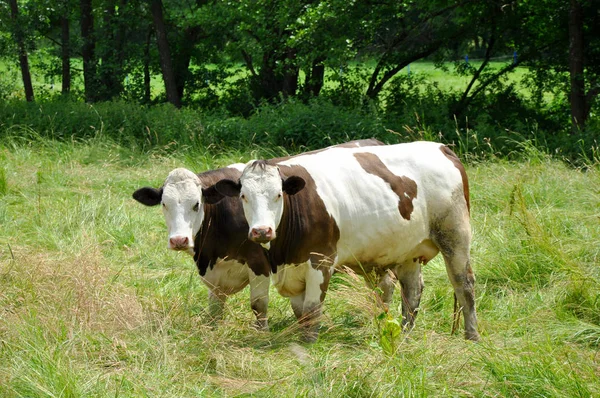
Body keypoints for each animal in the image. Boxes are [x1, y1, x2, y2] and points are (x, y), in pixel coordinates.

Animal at [132, 138, 384, 332]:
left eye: (196, 204)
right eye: (164, 204)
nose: (178, 240)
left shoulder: (258, 261)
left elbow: (258, 304)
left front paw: (262, 333)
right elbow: (214, 309)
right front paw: (212, 331)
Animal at [214, 142, 478, 342]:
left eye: (278, 195)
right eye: (243, 196)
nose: (262, 231)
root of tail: (440, 147)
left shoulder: (321, 260)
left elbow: (312, 308)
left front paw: (309, 342)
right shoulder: (290, 269)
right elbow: (300, 311)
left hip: (455, 234)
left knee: (463, 285)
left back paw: (471, 335)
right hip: (408, 250)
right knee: (412, 292)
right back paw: (404, 335)